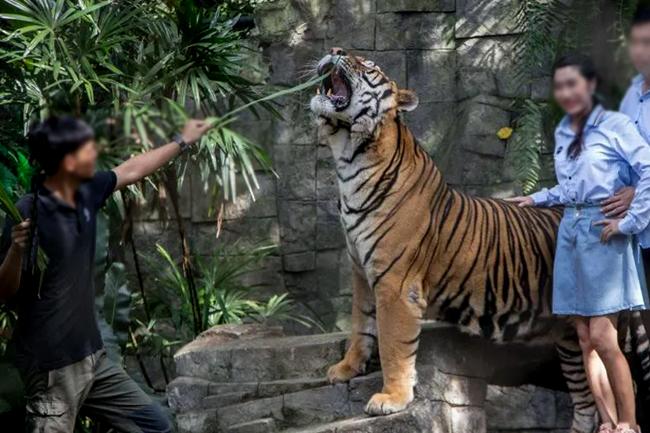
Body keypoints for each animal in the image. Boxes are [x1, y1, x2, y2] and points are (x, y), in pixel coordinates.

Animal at [309, 47, 650, 433]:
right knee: (586, 399)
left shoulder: (395, 284)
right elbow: (360, 325)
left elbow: (393, 343)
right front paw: (345, 369)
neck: (350, 158)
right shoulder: (361, 273)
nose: (335, 50)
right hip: (570, 338)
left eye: (367, 65)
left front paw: (391, 398)